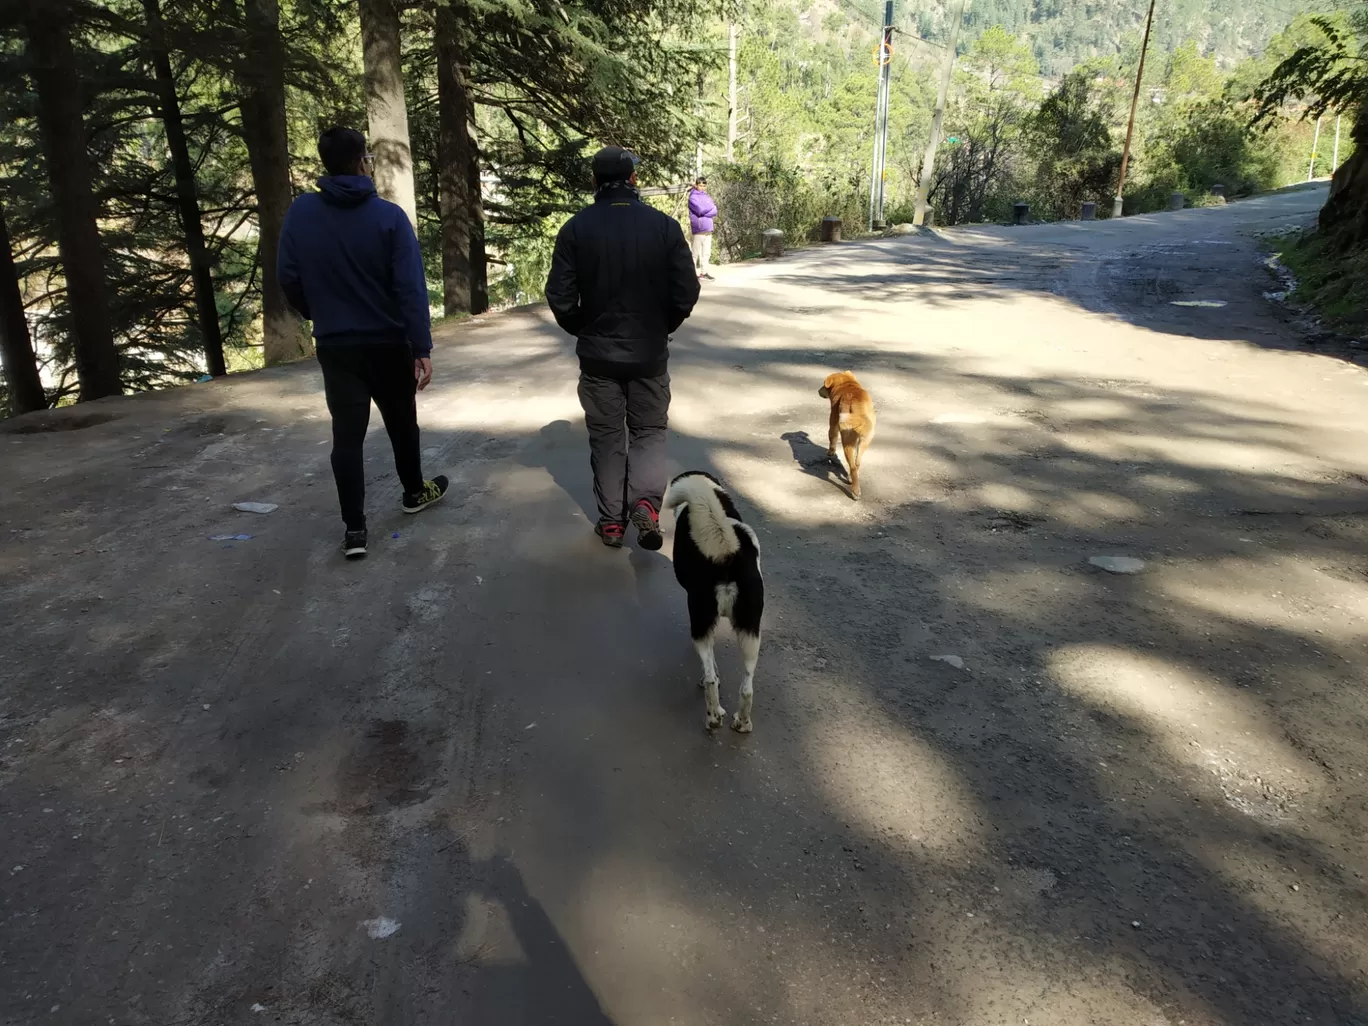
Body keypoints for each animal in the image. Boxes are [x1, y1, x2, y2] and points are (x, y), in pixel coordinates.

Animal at [664, 473, 766, 733]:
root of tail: (726, 551)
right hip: (751, 631)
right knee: (747, 688)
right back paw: (743, 723)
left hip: (700, 621)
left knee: (711, 678)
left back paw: (713, 717)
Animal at [820, 372, 875, 500]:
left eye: (824, 385)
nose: (818, 391)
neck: (847, 385)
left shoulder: (833, 422)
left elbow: (832, 439)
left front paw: (830, 452)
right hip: (864, 441)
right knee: (856, 463)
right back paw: (853, 480)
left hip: (847, 442)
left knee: (853, 466)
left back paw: (855, 491)